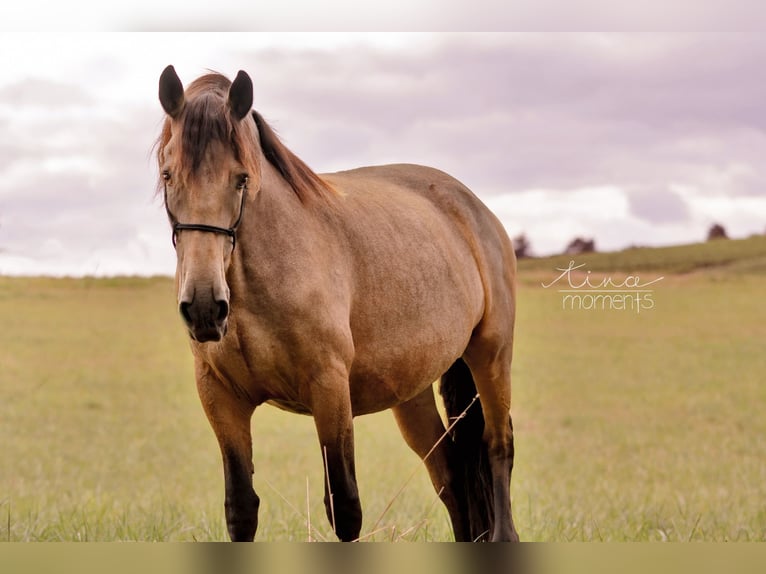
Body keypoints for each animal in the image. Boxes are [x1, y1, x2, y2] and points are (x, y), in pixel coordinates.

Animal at [153, 65, 520, 544]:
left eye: (242, 177)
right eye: (168, 175)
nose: (203, 307)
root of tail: (474, 208)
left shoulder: (329, 390)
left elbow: (344, 507)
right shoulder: (220, 397)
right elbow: (241, 509)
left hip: (490, 356)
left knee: (497, 447)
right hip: (413, 393)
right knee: (452, 476)